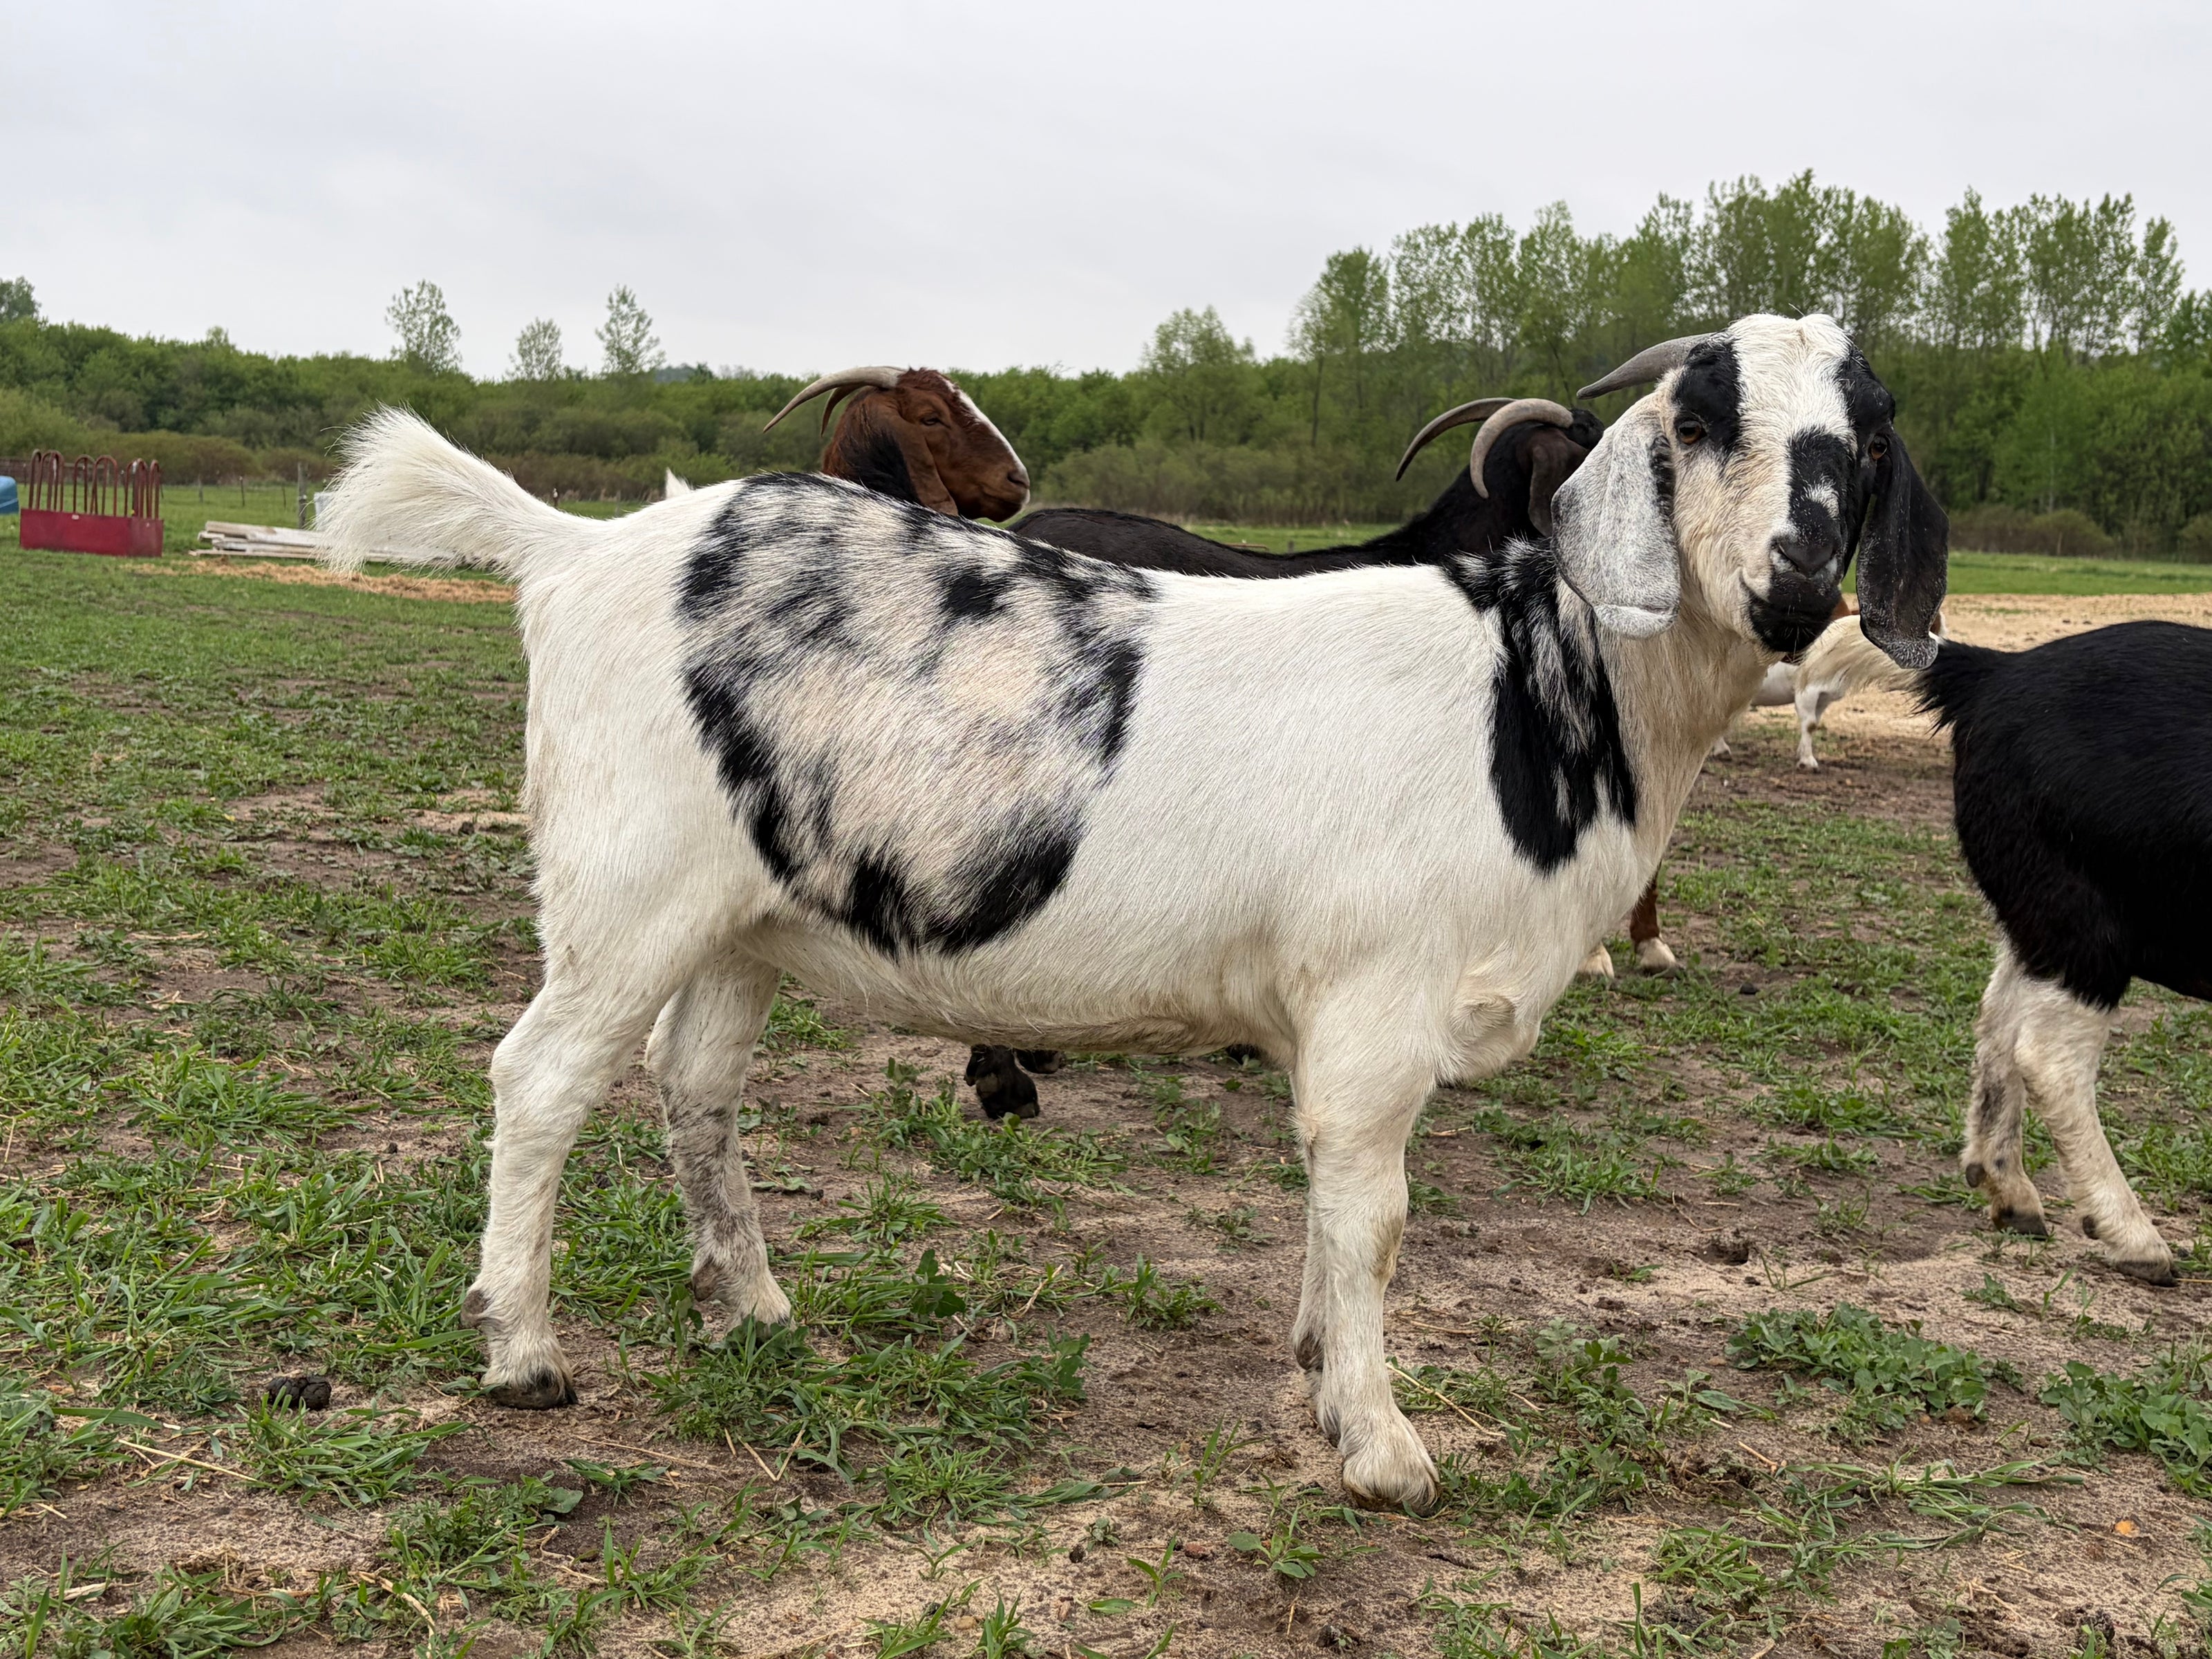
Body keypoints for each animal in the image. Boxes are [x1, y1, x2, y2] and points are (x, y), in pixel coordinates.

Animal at [1921, 621, 2212, 1285]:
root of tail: (1994, 672)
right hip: (2080, 918)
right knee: (2049, 1057)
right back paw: (2133, 1237)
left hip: (2035, 914)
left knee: (1998, 1019)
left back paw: (2010, 1191)